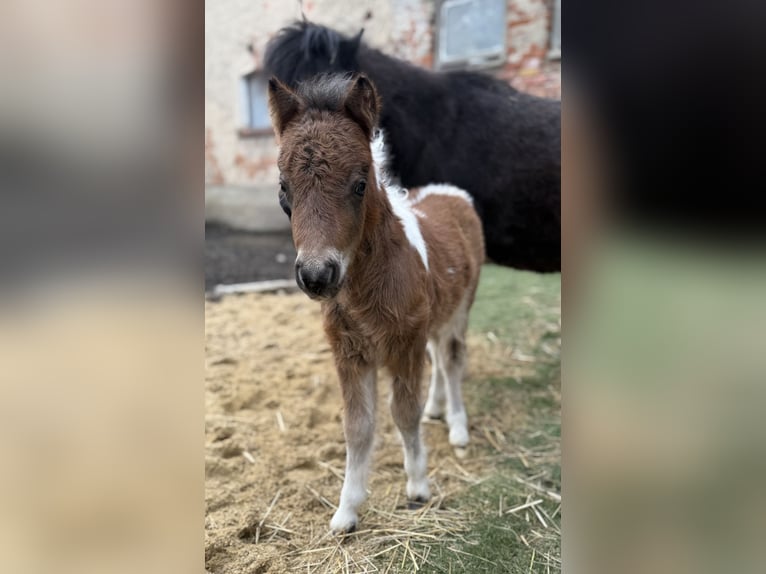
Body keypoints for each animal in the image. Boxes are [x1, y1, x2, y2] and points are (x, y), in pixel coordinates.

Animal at [270, 73, 484, 536]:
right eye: (283, 188)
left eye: (360, 183)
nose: (317, 275)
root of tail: (450, 191)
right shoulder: (349, 352)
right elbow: (358, 426)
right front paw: (346, 510)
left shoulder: (403, 343)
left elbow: (402, 412)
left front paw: (418, 486)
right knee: (438, 357)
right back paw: (438, 410)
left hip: (460, 309)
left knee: (453, 358)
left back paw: (458, 426)